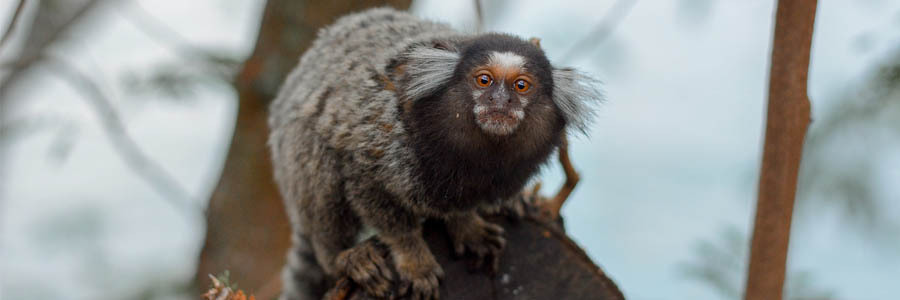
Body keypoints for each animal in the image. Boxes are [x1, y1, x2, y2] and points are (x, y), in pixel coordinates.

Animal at [270, 7, 600, 300]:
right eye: (484, 80)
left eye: (521, 86)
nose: (500, 100)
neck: (482, 154)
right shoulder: (382, 141)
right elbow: (374, 195)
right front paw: (413, 257)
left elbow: (460, 204)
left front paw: (466, 225)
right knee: (319, 168)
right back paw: (344, 256)